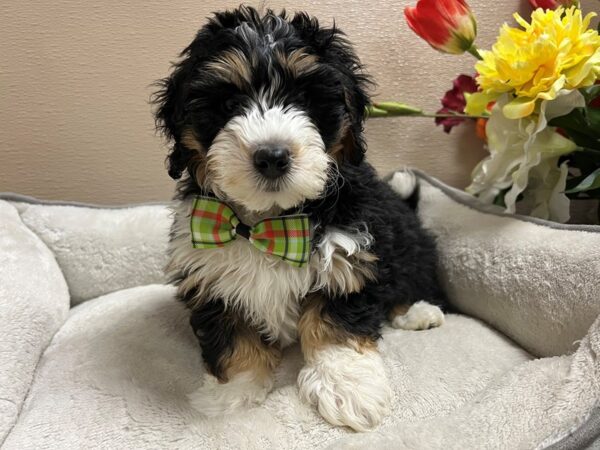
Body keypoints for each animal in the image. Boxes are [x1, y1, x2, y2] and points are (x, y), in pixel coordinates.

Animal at [155, 4, 446, 432]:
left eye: (306, 100)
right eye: (227, 105)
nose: (272, 156)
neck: (266, 223)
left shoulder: (349, 258)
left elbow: (335, 325)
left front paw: (348, 388)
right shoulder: (210, 275)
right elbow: (232, 336)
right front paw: (231, 394)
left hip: (409, 248)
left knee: (408, 282)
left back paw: (420, 312)